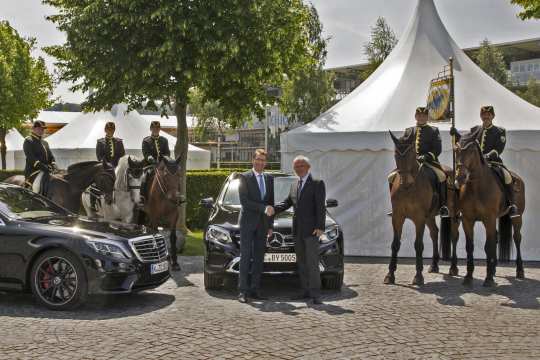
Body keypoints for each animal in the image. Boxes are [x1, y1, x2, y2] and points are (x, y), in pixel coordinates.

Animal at [384, 131, 452, 286]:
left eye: (411, 154)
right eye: (396, 155)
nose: (405, 182)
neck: (409, 188)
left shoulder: (419, 218)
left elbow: (418, 245)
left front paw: (418, 276)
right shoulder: (397, 217)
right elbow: (395, 244)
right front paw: (390, 275)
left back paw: (453, 268)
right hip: (430, 216)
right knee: (434, 233)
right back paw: (434, 265)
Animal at [454, 136, 524, 286]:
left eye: (472, 151)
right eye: (456, 150)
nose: (460, 178)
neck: (476, 187)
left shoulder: (489, 219)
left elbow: (488, 246)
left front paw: (488, 279)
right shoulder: (467, 220)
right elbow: (470, 246)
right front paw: (468, 276)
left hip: (517, 217)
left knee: (517, 239)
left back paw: (520, 271)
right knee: (496, 237)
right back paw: (493, 269)